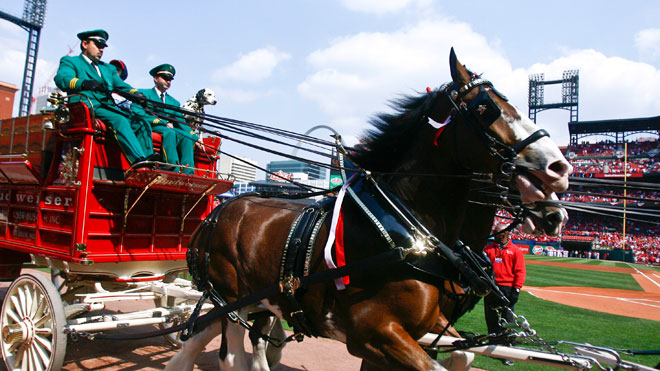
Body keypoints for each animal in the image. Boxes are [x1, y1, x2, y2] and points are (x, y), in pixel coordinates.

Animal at [166, 50, 572, 371]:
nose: (559, 168)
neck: (408, 231)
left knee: (218, 339)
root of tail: (217, 212)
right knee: (231, 356)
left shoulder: (425, 324)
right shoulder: (372, 333)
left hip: (257, 300)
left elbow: (464, 355)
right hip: (231, 298)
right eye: (486, 108)